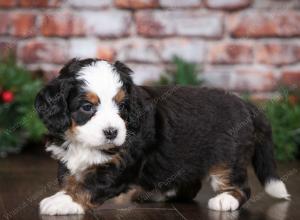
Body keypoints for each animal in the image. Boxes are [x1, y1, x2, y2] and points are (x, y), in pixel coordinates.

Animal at [35, 58, 290, 215]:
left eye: (122, 105)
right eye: (87, 107)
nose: (112, 132)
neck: (82, 142)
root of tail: (246, 105)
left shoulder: (121, 163)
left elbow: (90, 183)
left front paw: (63, 201)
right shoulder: (67, 159)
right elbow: (72, 179)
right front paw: (64, 194)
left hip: (229, 158)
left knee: (240, 187)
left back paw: (225, 199)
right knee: (190, 185)